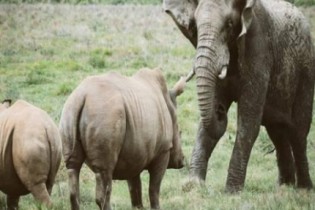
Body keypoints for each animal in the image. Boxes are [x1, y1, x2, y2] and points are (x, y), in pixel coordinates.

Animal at [59, 68, 185, 209]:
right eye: (180, 132)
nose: (182, 161)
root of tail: (82, 96)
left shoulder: (134, 155)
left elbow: (135, 189)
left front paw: (138, 208)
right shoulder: (163, 150)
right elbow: (154, 189)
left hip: (69, 112)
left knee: (73, 168)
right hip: (105, 113)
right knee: (105, 172)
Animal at [164, 0, 315, 192]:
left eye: (229, 24)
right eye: (195, 26)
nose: (221, 111)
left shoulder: (258, 47)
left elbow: (248, 122)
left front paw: (231, 192)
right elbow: (207, 120)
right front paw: (194, 186)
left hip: (306, 71)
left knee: (299, 131)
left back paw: (303, 189)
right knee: (277, 130)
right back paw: (284, 187)